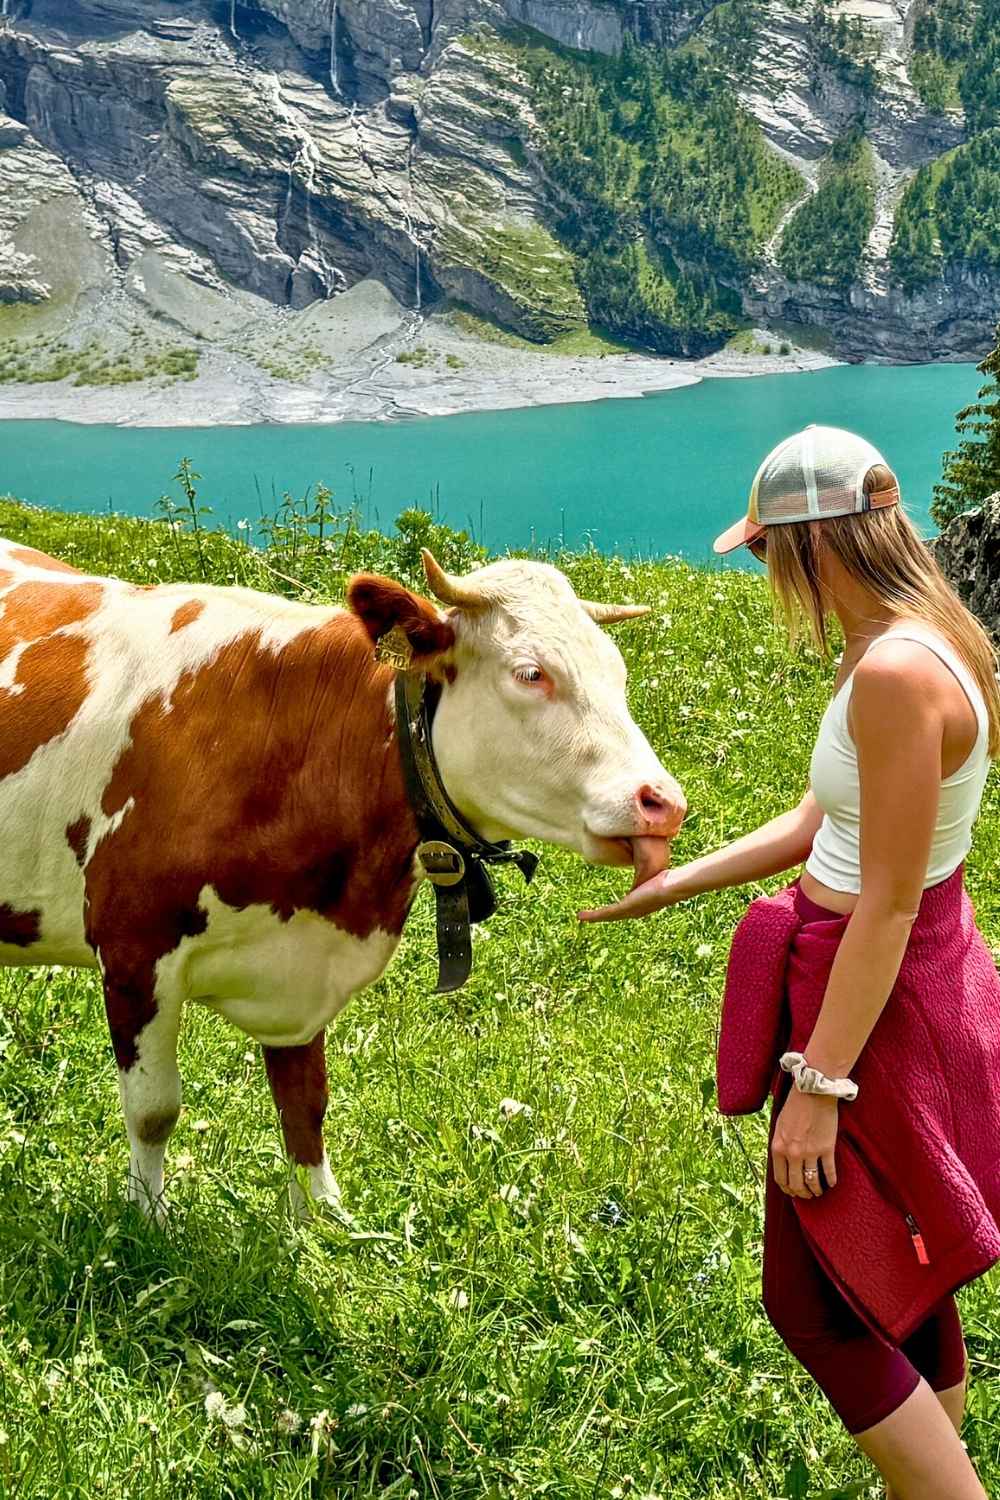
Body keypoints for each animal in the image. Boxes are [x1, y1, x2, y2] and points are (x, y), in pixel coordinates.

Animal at [0, 540, 683, 1218]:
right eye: (531, 673)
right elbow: (153, 1112)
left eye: (618, 675)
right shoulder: (133, 950)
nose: (663, 802)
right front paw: (149, 1220)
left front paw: (325, 1221)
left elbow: (305, 1102)